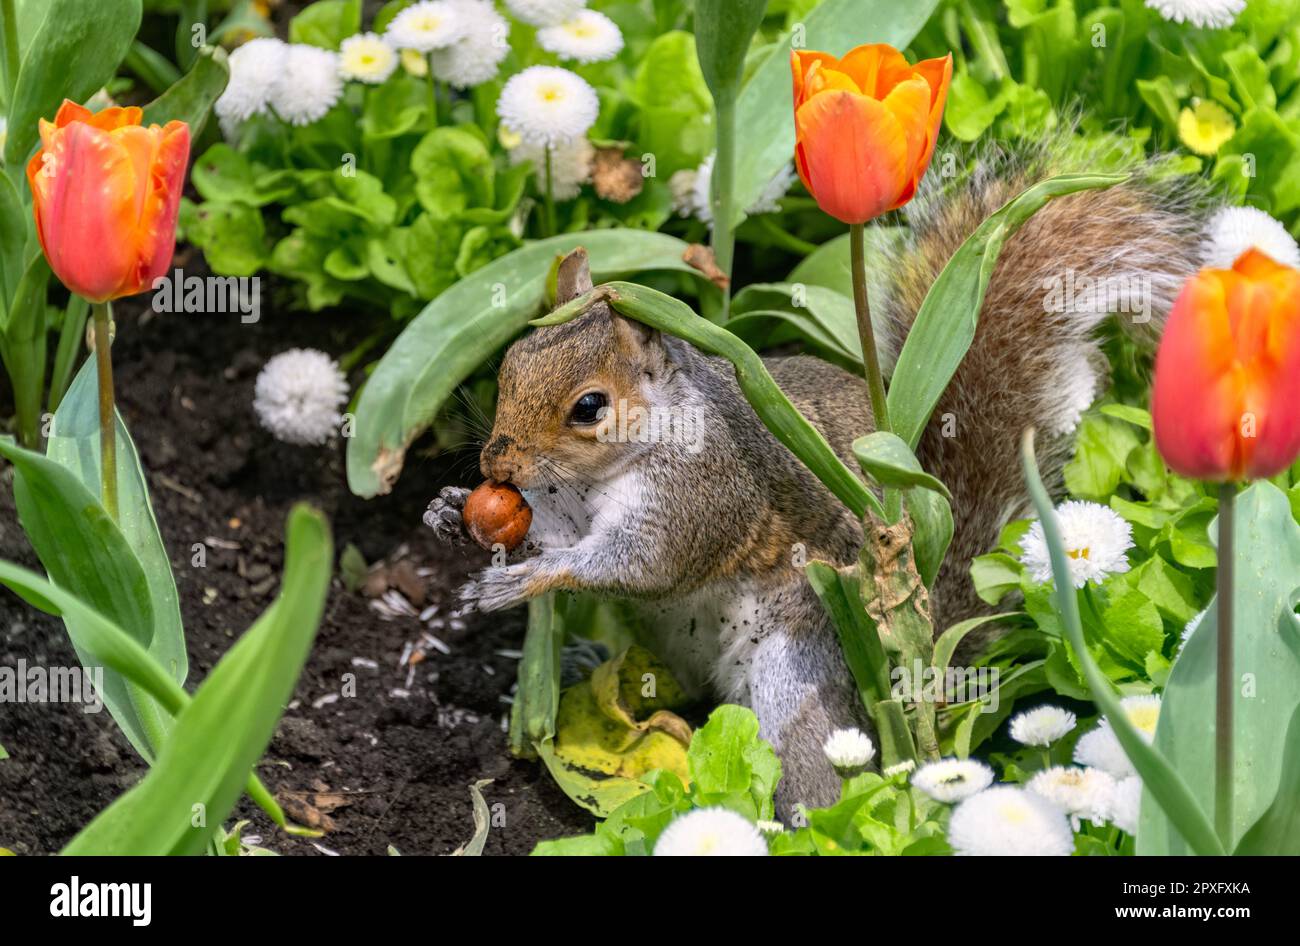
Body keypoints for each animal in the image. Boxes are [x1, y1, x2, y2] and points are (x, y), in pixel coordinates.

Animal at [425, 143, 1210, 815]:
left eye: (588, 407)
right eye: (511, 363)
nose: (497, 465)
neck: (610, 468)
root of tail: (925, 659)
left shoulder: (703, 492)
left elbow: (641, 563)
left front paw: (525, 579)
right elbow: (552, 530)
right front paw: (451, 510)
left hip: (803, 664)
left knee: (826, 770)